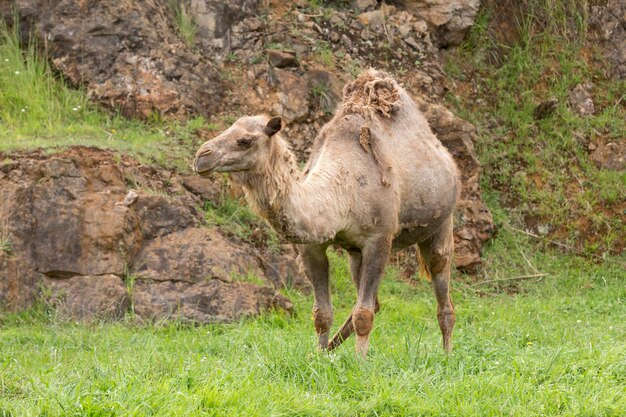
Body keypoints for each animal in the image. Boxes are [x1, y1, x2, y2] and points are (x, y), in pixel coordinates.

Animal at [193, 70, 456, 356]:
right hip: (354, 253)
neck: (340, 192)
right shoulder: (312, 247)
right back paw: (332, 349)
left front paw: (360, 361)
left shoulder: (379, 239)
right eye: (228, 130)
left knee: (441, 289)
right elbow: (322, 314)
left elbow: (363, 315)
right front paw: (318, 356)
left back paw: (446, 354)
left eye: (244, 141)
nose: (201, 156)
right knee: (372, 301)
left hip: (443, 223)